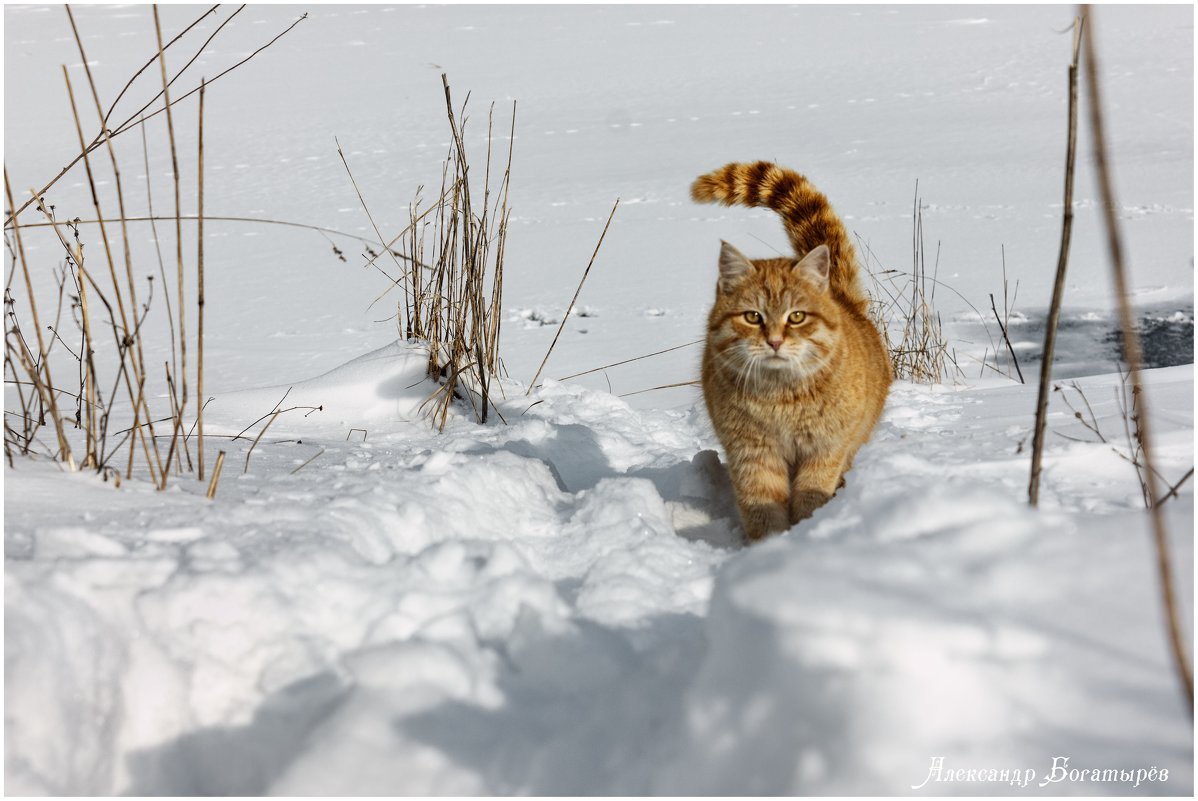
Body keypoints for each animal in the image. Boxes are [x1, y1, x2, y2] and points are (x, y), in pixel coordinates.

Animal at [694, 159, 891, 541]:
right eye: (752, 317)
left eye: (796, 316)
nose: (774, 341)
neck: (780, 398)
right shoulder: (752, 454)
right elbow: (762, 506)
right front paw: (770, 545)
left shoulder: (826, 449)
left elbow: (810, 496)